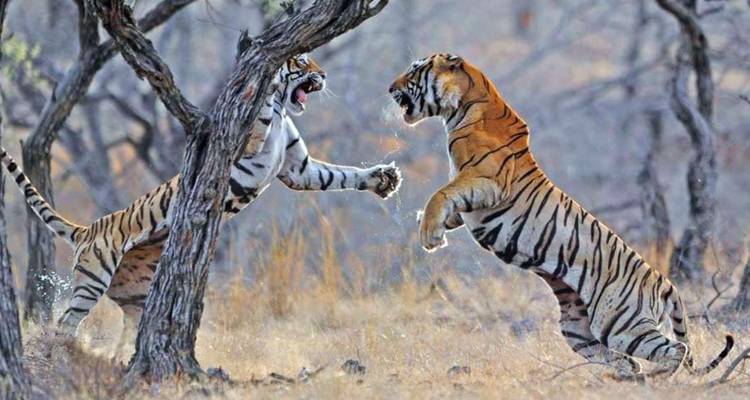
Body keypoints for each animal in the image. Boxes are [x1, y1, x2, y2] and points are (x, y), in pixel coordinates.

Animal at [1, 54, 402, 358]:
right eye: (302, 61)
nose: (324, 74)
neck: (282, 109)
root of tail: (87, 229)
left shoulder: (299, 170)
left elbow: (341, 174)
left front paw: (383, 179)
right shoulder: (248, 144)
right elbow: (257, 110)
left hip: (136, 299)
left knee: (128, 334)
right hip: (92, 279)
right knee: (66, 320)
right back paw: (62, 353)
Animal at [388, 53, 733, 378]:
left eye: (415, 69)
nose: (390, 88)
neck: (462, 105)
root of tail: (662, 280)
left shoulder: (487, 182)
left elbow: (440, 194)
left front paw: (429, 235)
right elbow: (449, 206)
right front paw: (434, 225)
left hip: (620, 323)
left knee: (675, 349)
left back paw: (657, 377)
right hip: (577, 329)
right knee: (629, 361)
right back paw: (621, 379)